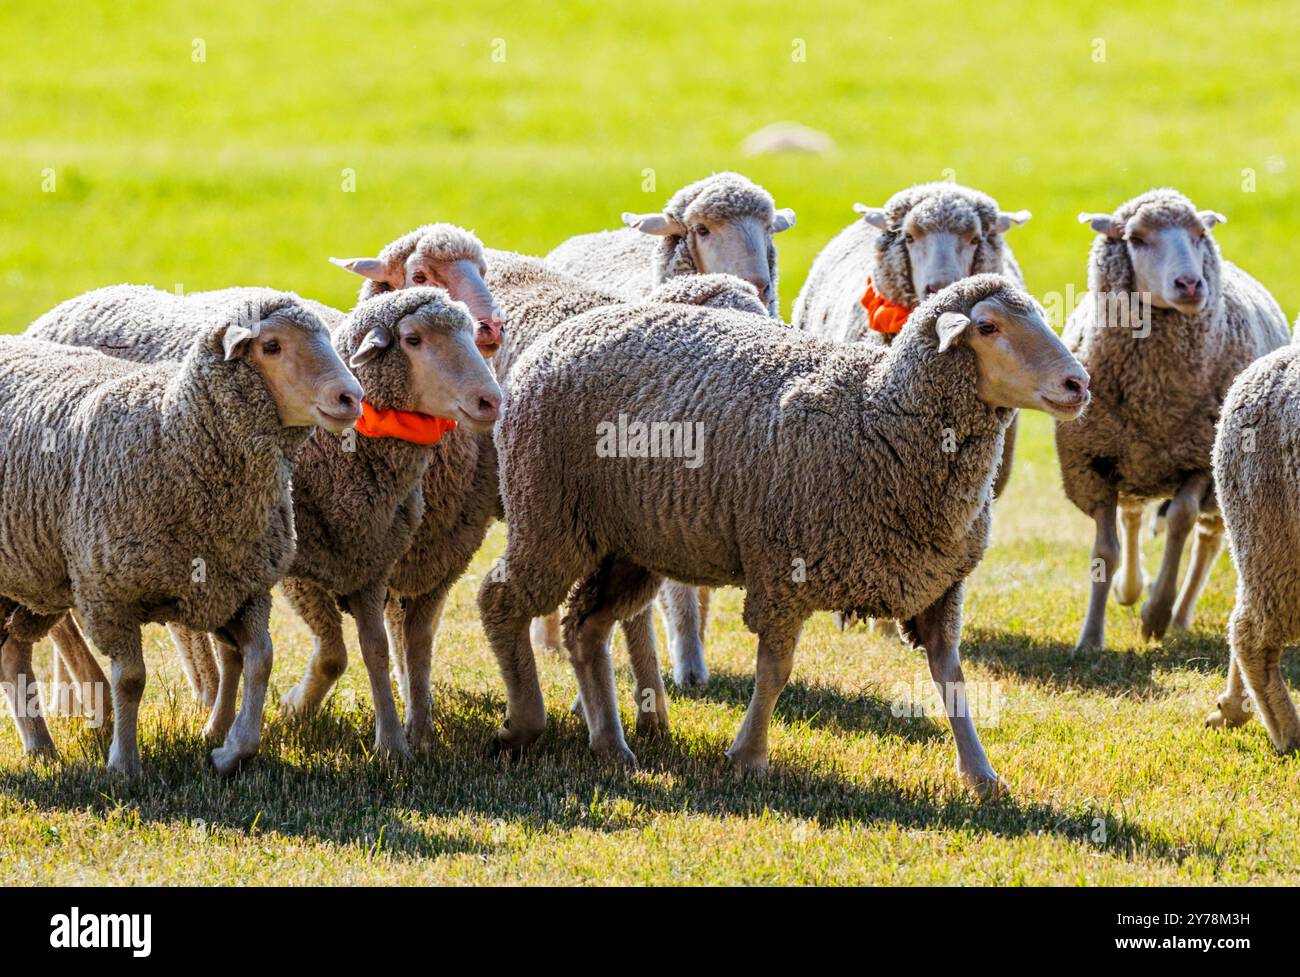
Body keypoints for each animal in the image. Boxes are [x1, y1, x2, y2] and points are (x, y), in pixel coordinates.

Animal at [6, 288, 366, 769]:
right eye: (271, 346)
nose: (351, 397)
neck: (172, 433)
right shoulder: (108, 593)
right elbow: (131, 679)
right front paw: (124, 762)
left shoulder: (240, 587)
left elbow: (260, 659)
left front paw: (231, 750)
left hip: (25, 576)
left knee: (12, 650)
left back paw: (41, 747)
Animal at [475, 271, 1086, 795]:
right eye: (989, 327)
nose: (1078, 383)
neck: (878, 415)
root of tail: (563, 333)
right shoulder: (781, 573)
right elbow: (775, 671)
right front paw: (749, 756)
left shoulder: (937, 587)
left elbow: (952, 678)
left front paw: (981, 774)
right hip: (549, 515)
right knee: (501, 599)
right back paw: (522, 727)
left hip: (631, 542)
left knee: (585, 627)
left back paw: (611, 746)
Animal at [1055, 188, 1289, 652]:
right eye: (1136, 238)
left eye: (1199, 234)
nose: (1191, 284)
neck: (1156, 398)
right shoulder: (1094, 465)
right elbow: (1105, 552)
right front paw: (1091, 637)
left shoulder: (1200, 460)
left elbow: (1180, 519)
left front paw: (1156, 615)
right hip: (1133, 462)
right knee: (1131, 517)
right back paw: (1129, 588)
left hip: (1227, 479)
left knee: (1208, 543)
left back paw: (1179, 616)